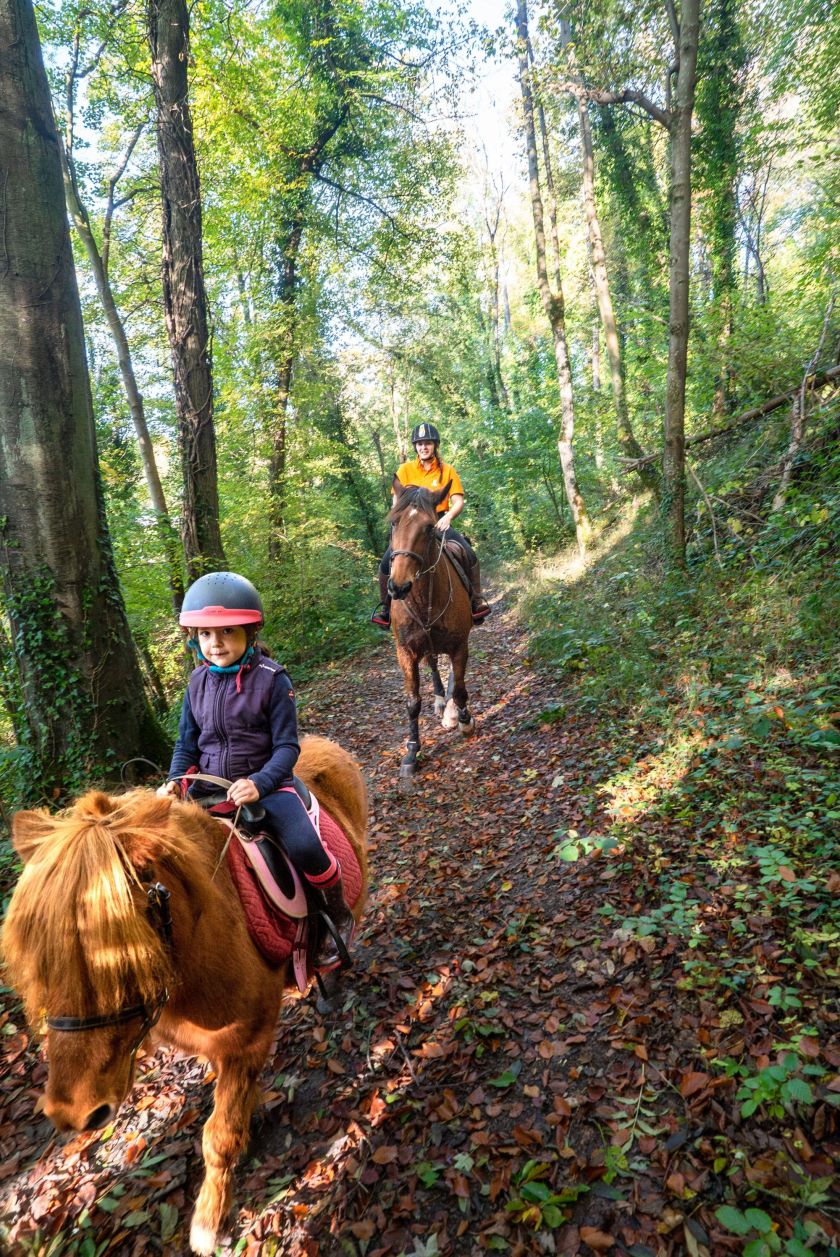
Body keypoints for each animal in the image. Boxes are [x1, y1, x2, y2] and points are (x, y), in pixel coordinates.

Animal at [0, 734, 367, 1251]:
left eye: (120, 949)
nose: (73, 1113)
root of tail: (324, 745)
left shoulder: (247, 1038)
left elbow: (219, 1137)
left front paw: (209, 1223)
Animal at [389, 480, 475, 774]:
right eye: (393, 522)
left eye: (429, 527)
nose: (399, 586)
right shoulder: (405, 652)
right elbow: (413, 702)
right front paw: (411, 752)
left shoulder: (460, 644)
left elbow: (459, 687)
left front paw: (464, 720)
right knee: (434, 665)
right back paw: (440, 701)